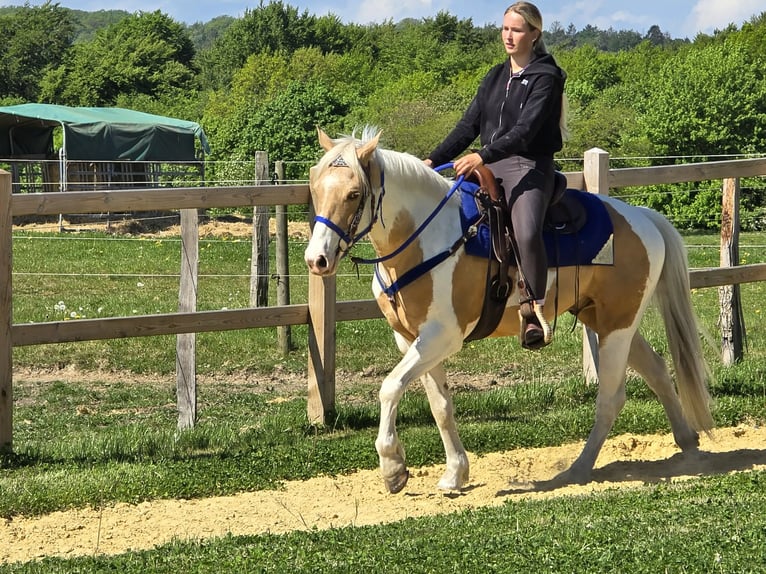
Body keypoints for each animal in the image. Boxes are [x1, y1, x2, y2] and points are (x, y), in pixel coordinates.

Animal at [304, 126, 713, 493]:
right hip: (605, 320)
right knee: (657, 371)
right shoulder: (410, 340)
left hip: (617, 327)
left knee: (611, 398)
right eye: (315, 189)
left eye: (354, 193)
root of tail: (642, 216)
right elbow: (440, 406)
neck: (425, 238)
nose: (316, 260)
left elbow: (389, 388)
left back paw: (579, 469)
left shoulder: (442, 336)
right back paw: (688, 445)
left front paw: (392, 468)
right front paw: (455, 474)